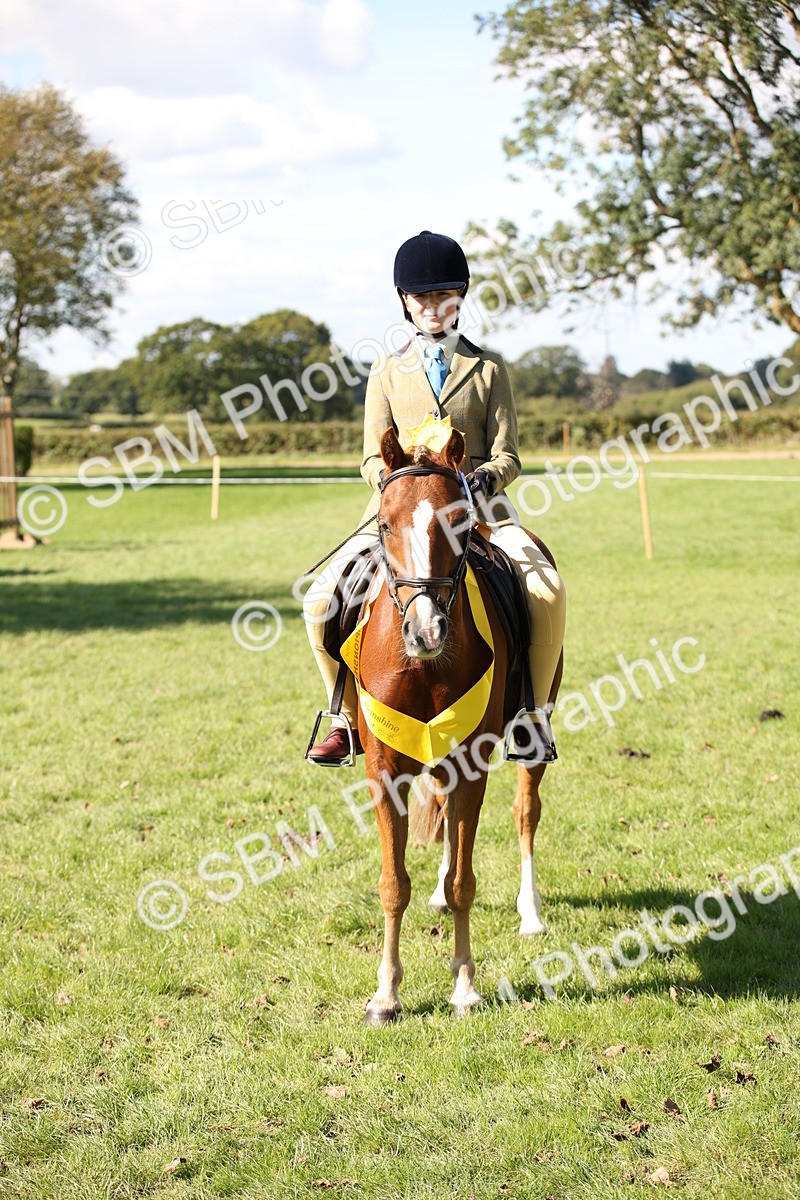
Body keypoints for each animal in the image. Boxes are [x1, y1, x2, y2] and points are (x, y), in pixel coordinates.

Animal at [352, 424, 562, 1025]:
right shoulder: (385, 771)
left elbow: (465, 880)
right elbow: (393, 884)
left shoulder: (471, 762)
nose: (426, 631)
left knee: (525, 813)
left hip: (530, 737)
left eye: (461, 521)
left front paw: (465, 986)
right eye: (384, 523)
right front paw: (385, 994)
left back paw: (530, 913)